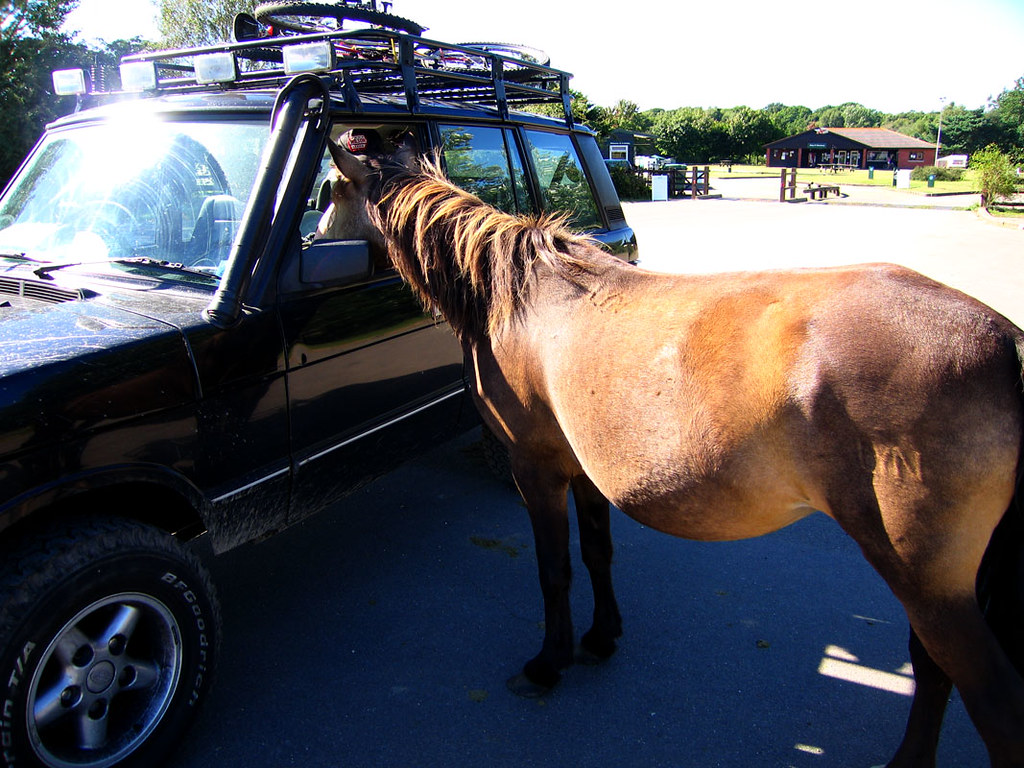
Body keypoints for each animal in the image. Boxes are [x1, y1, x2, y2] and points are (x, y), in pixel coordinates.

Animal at [328, 141, 1024, 767]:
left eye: (327, 190)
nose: (317, 242)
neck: (518, 297)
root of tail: (1004, 340)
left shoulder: (537, 467)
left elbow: (555, 569)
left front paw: (549, 663)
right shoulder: (582, 470)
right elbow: (597, 551)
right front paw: (601, 636)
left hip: (928, 581)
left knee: (987, 698)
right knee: (934, 672)